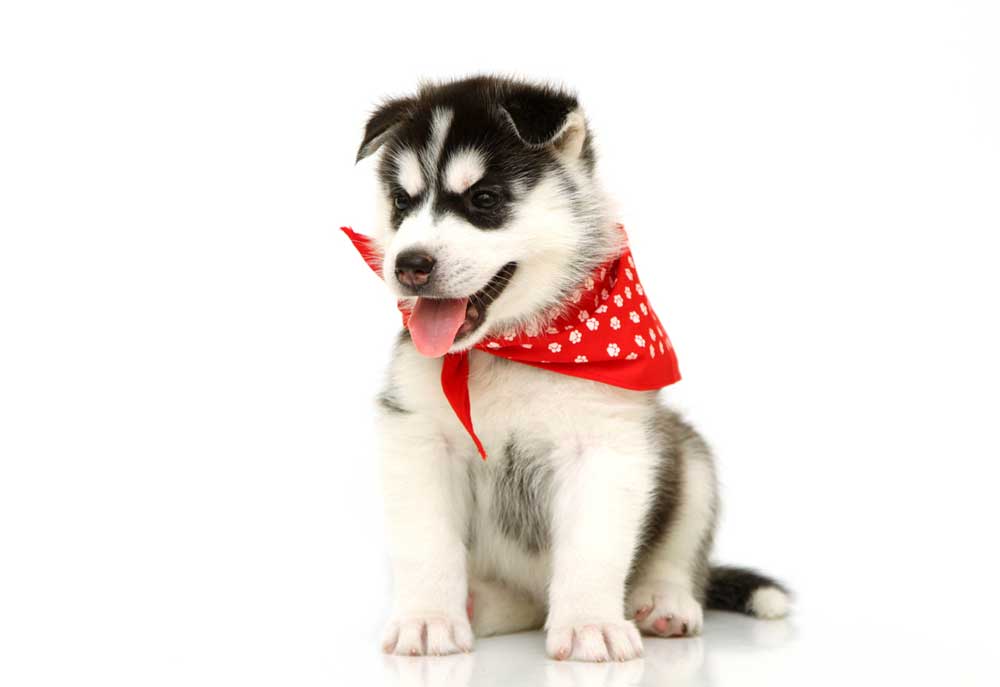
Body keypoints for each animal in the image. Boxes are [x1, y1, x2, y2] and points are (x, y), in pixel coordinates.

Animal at [352, 74, 788, 660]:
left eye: (484, 199)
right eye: (402, 201)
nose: (409, 266)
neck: (515, 347)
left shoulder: (607, 443)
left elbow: (593, 549)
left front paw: (589, 625)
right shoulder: (418, 436)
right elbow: (427, 542)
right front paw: (428, 618)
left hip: (689, 457)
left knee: (681, 552)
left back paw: (664, 601)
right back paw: (479, 604)